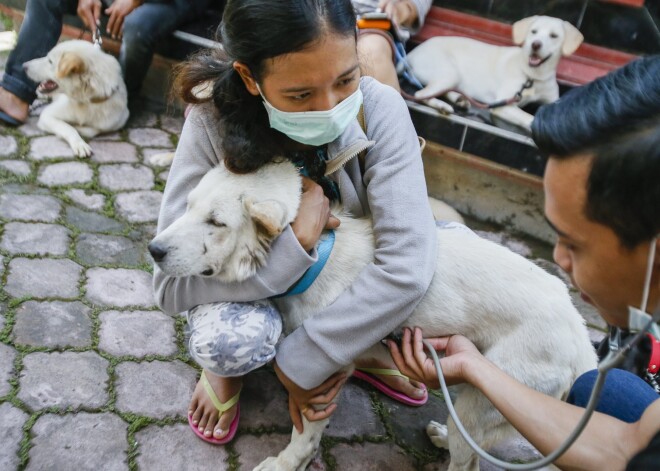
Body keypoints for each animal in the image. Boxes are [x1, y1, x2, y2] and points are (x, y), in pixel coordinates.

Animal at [151, 159, 600, 471]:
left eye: (216, 222)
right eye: (187, 207)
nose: (154, 250)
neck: (313, 258)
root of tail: (583, 343)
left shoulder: (323, 373)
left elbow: (303, 435)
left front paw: (286, 463)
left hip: (488, 399)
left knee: (468, 462)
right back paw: (440, 434)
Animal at [408, 16, 584, 131]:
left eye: (554, 36)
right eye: (534, 32)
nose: (535, 44)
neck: (533, 76)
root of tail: (411, 53)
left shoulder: (554, 102)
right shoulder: (503, 105)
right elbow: (529, 117)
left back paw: (459, 99)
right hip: (449, 73)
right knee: (419, 94)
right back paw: (442, 105)